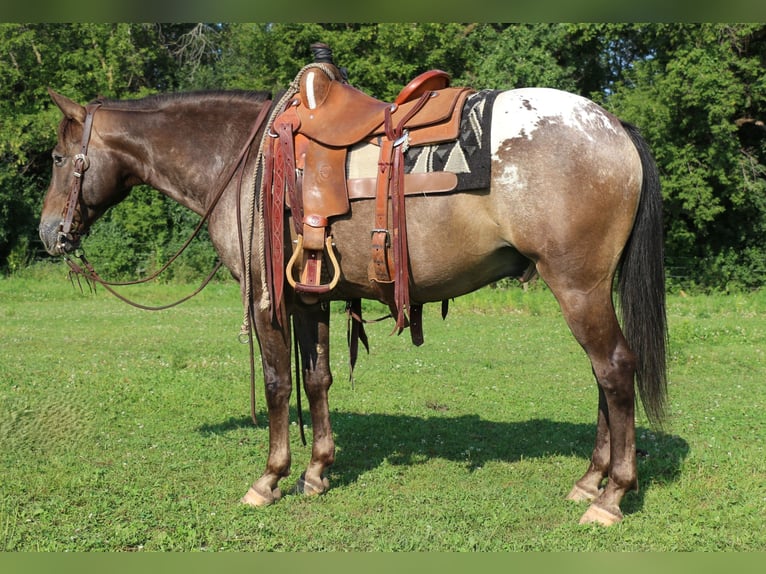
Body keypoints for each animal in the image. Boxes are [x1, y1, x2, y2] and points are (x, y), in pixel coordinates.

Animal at [39, 65, 668, 528]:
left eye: (57, 158)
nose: (48, 234)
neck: (240, 160)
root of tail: (611, 124)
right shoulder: (310, 294)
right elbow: (316, 379)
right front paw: (317, 471)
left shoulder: (268, 300)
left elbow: (277, 384)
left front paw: (269, 478)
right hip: (588, 289)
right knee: (603, 376)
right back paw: (590, 480)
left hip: (577, 286)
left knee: (615, 369)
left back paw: (611, 497)